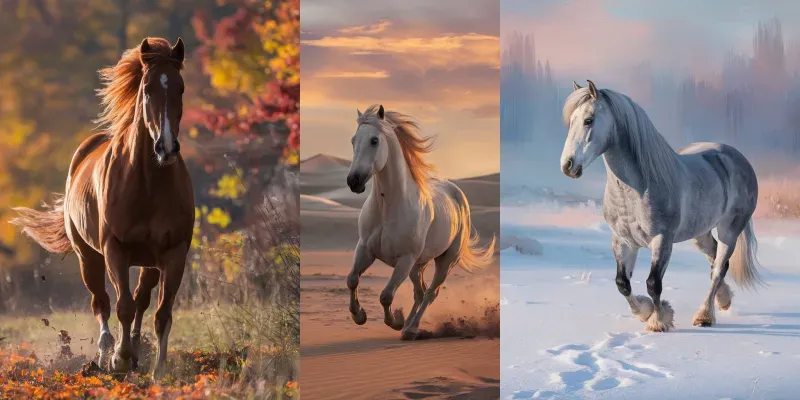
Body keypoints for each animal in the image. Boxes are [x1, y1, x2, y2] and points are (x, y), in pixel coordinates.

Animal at [11, 37, 194, 375]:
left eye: (181, 88)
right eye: (147, 88)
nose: (166, 147)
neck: (148, 184)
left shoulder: (174, 252)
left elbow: (162, 313)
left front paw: (158, 368)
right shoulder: (114, 248)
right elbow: (122, 306)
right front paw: (118, 360)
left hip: (149, 263)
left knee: (141, 299)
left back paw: (135, 349)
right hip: (89, 258)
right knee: (102, 303)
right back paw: (104, 352)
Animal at [345, 104, 496, 340]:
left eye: (374, 140)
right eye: (353, 140)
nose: (354, 181)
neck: (388, 207)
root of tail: (456, 193)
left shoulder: (405, 259)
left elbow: (386, 295)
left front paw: (395, 321)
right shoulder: (365, 249)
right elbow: (352, 280)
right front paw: (359, 315)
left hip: (444, 261)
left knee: (430, 293)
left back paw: (410, 328)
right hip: (418, 265)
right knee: (420, 291)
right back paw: (408, 325)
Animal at [559, 80, 763, 332]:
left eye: (589, 120)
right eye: (571, 121)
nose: (567, 166)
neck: (637, 189)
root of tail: (736, 157)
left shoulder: (662, 240)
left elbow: (653, 283)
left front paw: (659, 320)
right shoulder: (623, 240)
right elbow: (622, 283)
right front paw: (645, 312)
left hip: (729, 230)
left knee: (718, 268)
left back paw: (704, 315)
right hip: (700, 233)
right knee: (716, 261)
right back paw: (723, 300)